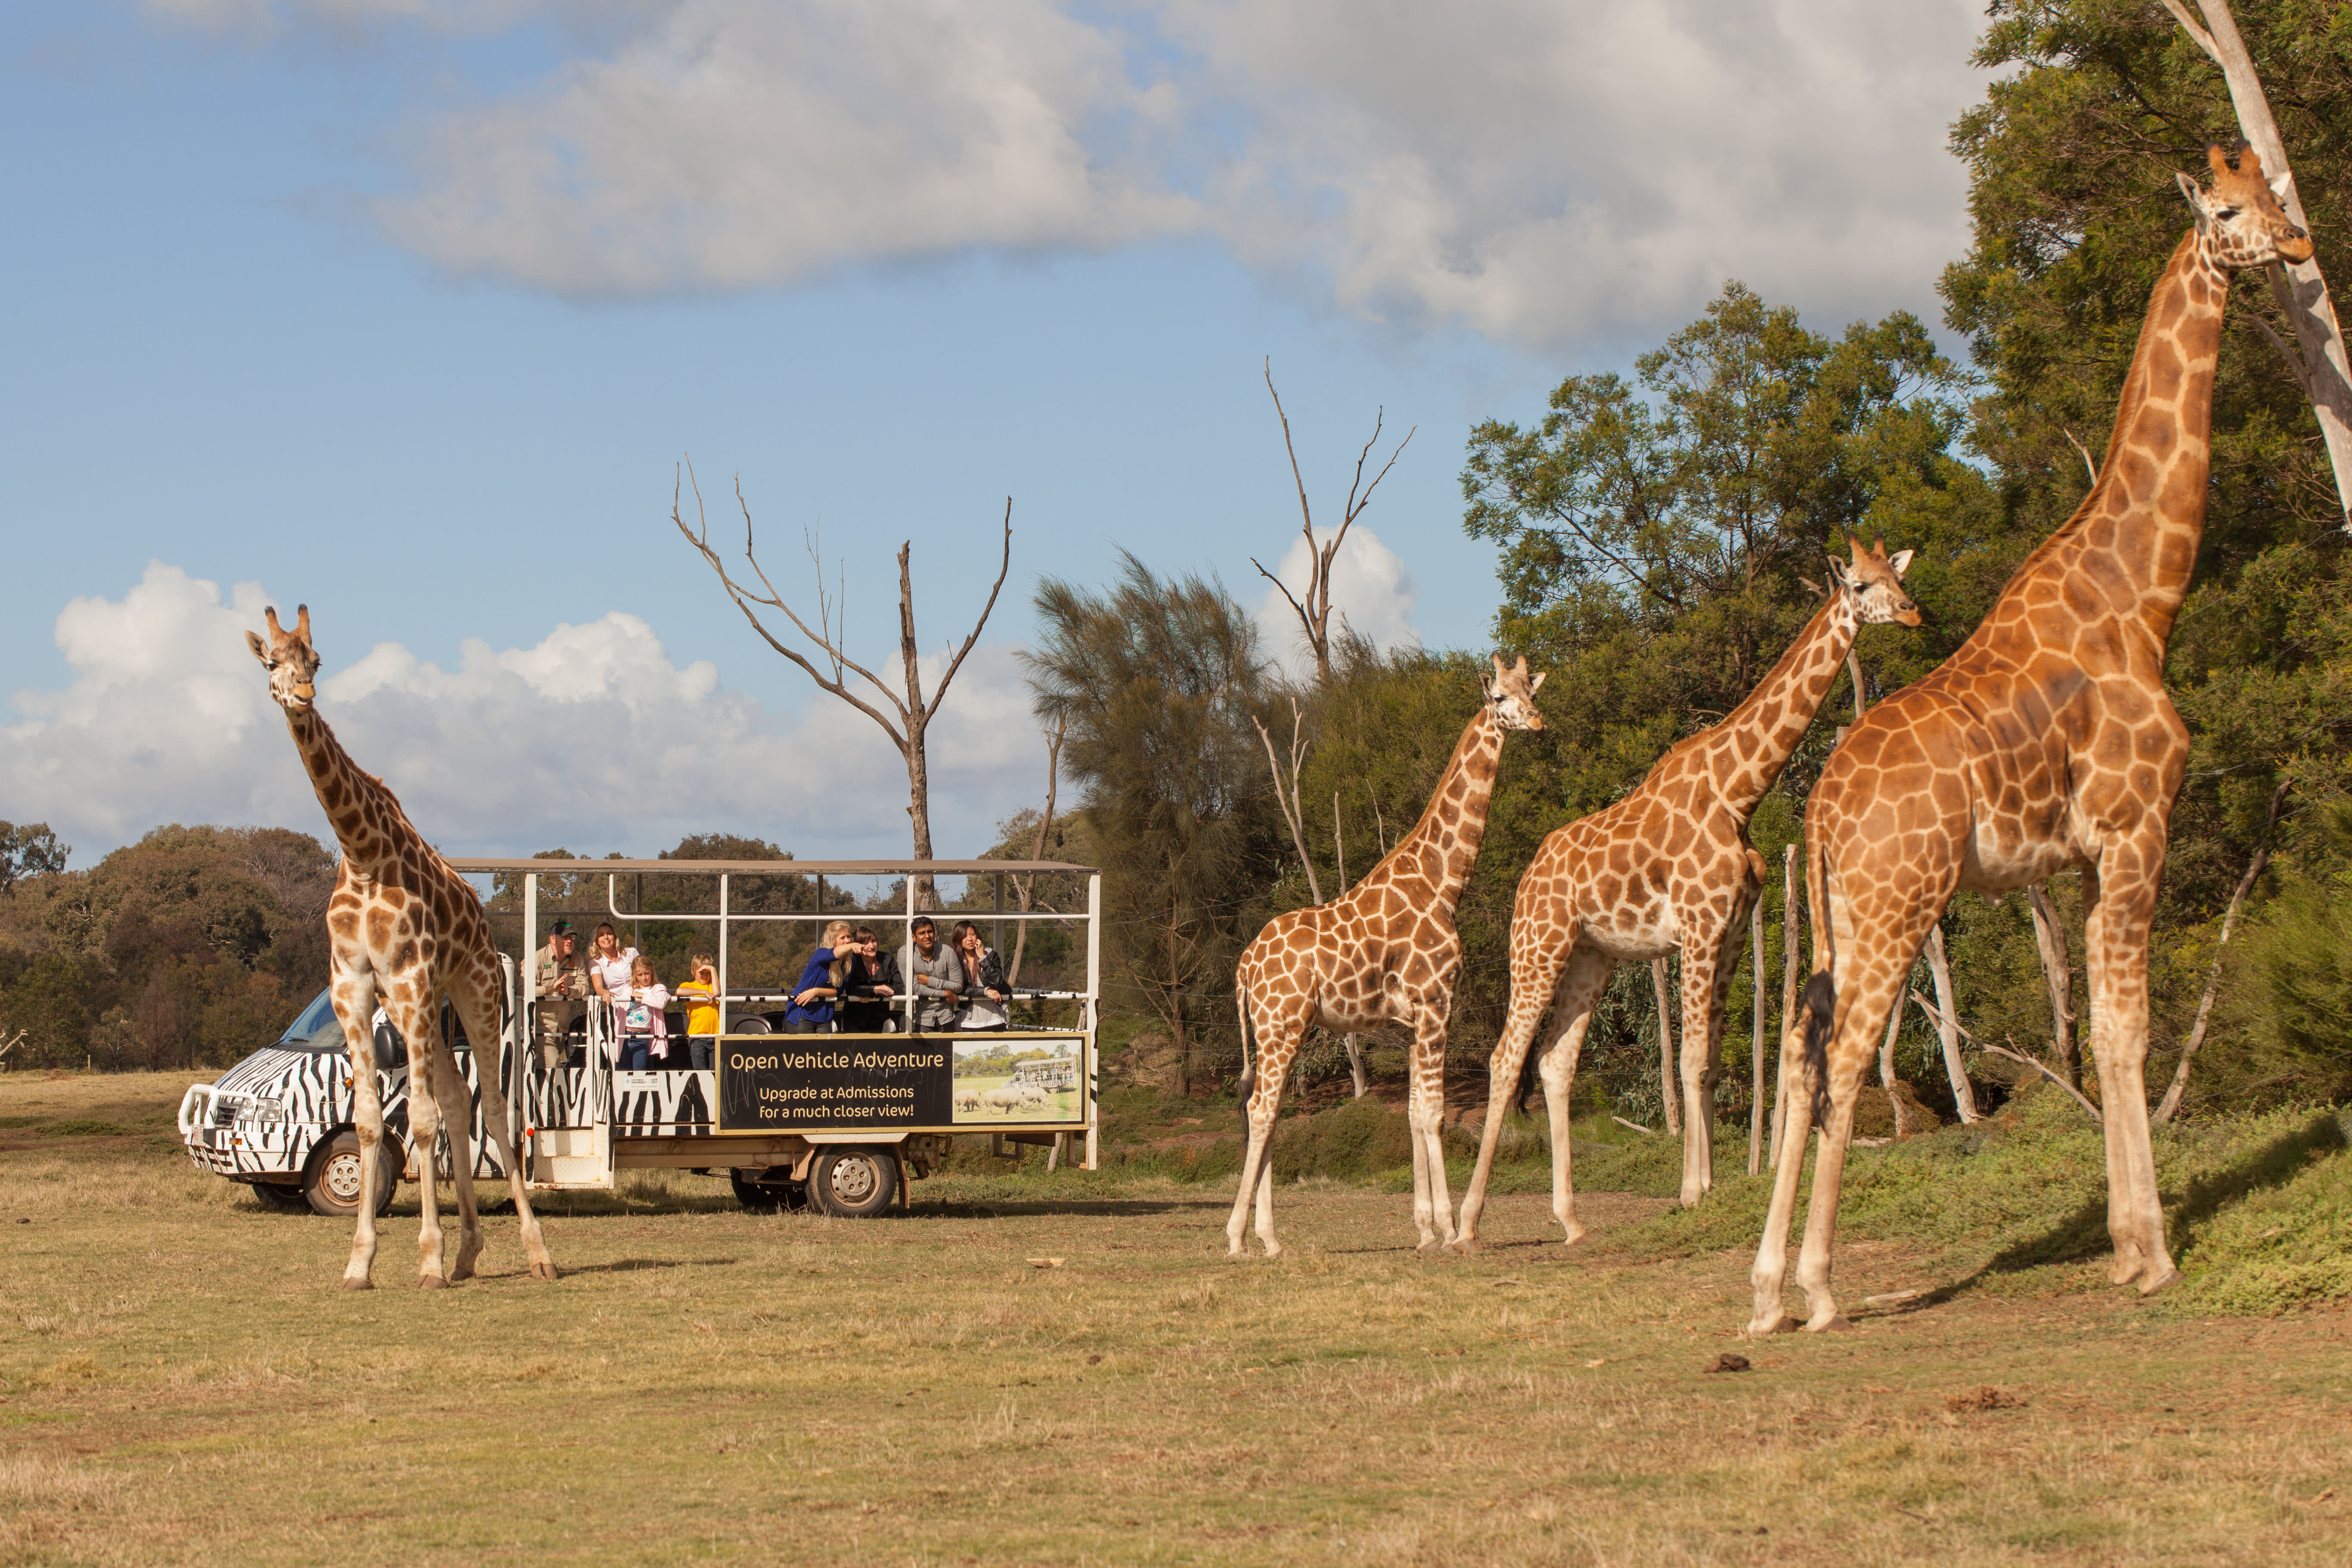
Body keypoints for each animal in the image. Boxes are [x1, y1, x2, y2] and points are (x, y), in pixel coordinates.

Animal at [245, 601, 557, 1288]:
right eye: (271, 662)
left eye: (316, 660)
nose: (301, 695)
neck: (362, 855)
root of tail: (480, 918)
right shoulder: (355, 984)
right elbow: (369, 1121)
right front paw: (360, 1263)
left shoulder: (411, 978)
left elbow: (418, 1118)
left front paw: (428, 1260)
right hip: (425, 1003)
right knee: (455, 1099)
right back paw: (470, 1253)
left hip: (471, 988)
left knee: (491, 1105)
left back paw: (536, 1253)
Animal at [1223, 658, 1552, 1260]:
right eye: (1498, 696)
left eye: (1530, 692)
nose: (1535, 723)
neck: (1443, 883)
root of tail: (1245, 967)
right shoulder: (1438, 1000)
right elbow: (1435, 1113)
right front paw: (1448, 1229)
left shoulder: (1414, 1016)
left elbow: (1416, 1113)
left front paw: (1424, 1230)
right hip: (1280, 1024)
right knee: (1260, 1109)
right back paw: (1239, 1237)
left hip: (1282, 1028)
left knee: (1269, 1109)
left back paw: (1270, 1239)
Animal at [1449, 540, 1928, 1250]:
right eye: (1862, 584)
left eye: (1897, 575)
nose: (1911, 610)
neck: (1738, 789)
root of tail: (1527, 878)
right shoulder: (1699, 927)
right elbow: (1692, 1055)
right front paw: (1692, 1190)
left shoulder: (1728, 931)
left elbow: (1707, 1064)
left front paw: (1709, 1185)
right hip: (1536, 946)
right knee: (1506, 1056)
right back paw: (1466, 1224)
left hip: (1590, 957)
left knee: (1556, 1062)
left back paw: (1569, 1219)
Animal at [1750, 147, 2314, 1335]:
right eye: (2228, 208)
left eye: (2273, 194)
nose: (2297, 246)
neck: (2142, 597)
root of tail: (1819, 806)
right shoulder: (2139, 827)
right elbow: (2127, 1032)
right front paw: (2153, 1256)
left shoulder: (2091, 853)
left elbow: (2099, 1030)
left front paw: (2124, 1247)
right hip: (1902, 901)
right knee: (1851, 1054)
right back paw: (1819, 1291)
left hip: (1838, 914)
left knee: (1804, 1051)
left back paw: (1767, 1291)